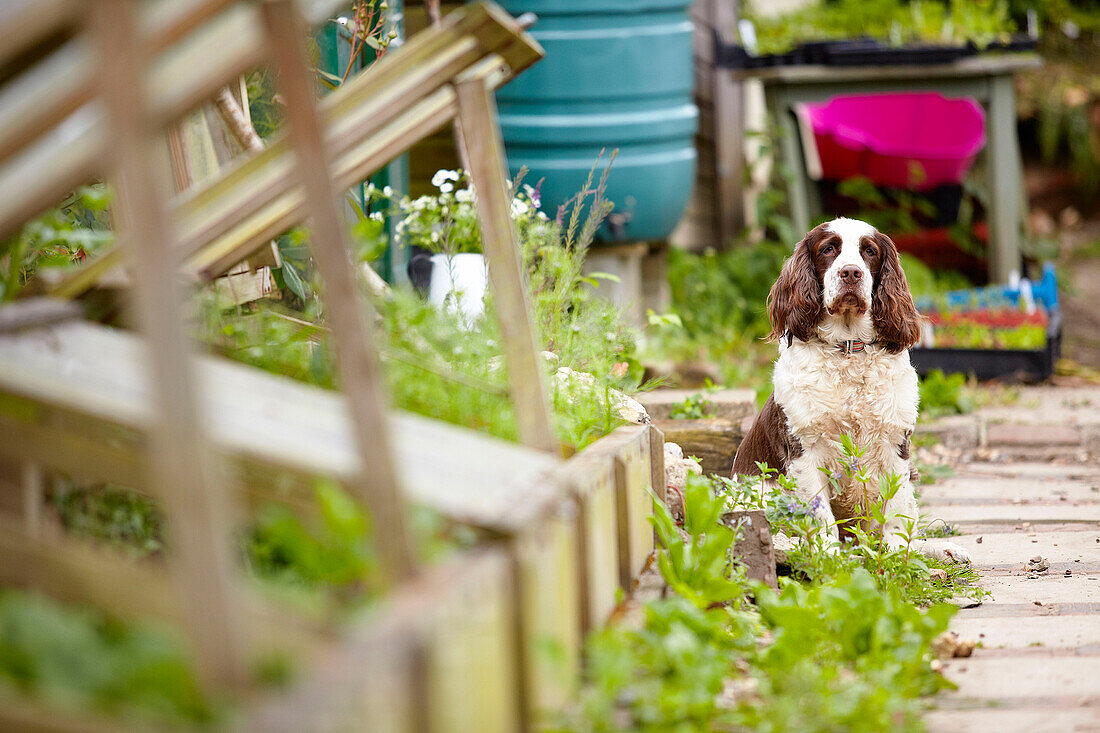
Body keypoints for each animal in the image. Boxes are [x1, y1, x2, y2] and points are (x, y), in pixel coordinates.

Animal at [734, 216, 968, 559]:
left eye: (868, 251)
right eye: (828, 249)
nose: (851, 273)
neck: (847, 349)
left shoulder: (894, 443)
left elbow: (896, 509)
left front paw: (895, 550)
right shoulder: (805, 449)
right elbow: (819, 513)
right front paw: (829, 553)